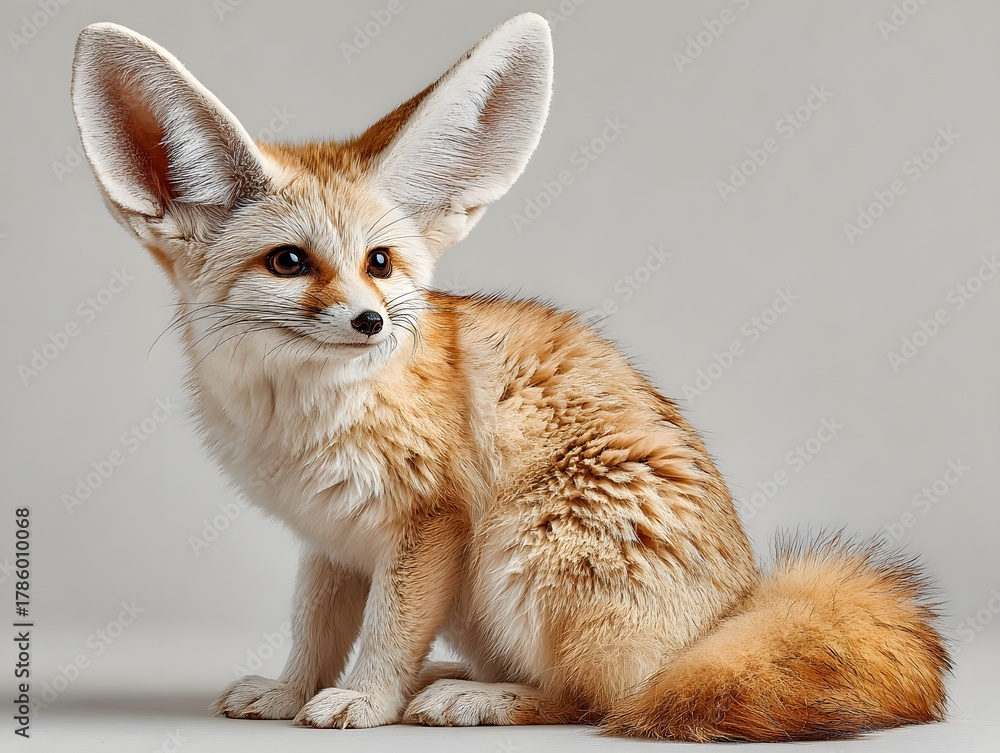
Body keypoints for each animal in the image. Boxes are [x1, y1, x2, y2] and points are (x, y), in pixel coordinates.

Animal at [70, 14, 949, 742]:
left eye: (379, 263)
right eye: (289, 262)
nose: (372, 322)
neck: (300, 415)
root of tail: (730, 613)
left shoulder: (430, 523)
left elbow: (387, 629)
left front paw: (364, 698)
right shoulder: (330, 540)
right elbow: (312, 627)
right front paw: (294, 690)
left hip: (521, 554)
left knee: (602, 700)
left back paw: (476, 698)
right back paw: (451, 678)